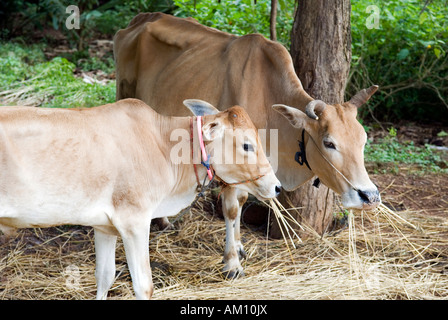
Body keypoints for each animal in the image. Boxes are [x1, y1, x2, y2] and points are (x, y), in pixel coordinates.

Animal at [115, 12, 382, 278]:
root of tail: (141, 19)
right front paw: (232, 263)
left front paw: (239, 246)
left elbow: (242, 203)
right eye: (329, 143)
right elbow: (232, 209)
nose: (369, 196)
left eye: (363, 141)